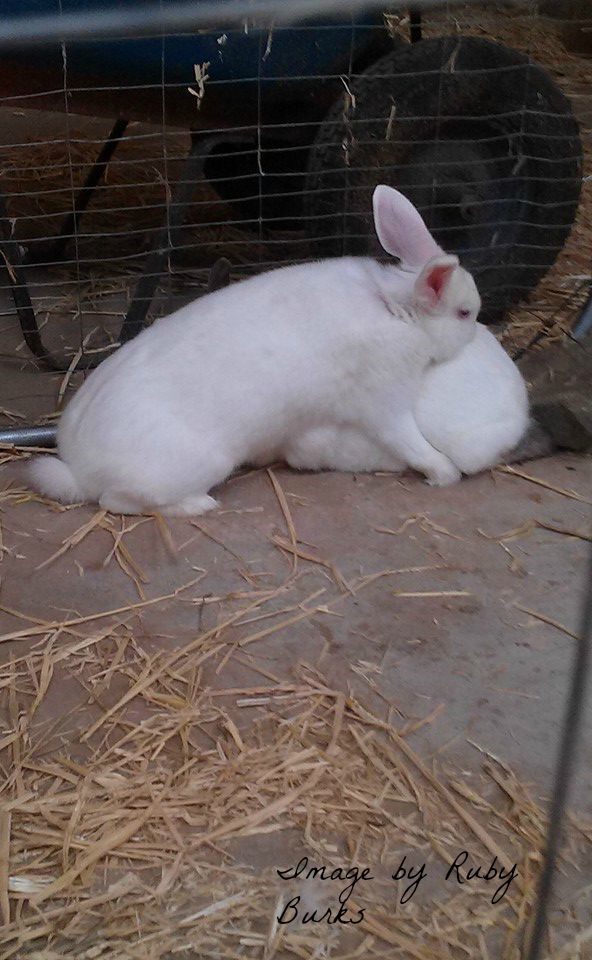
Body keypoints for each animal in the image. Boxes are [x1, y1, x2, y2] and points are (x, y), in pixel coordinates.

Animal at [29, 185, 481, 515]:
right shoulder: (385, 404)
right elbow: (411, 442)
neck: (397, 310)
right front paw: (444, 473)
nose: (476, 335)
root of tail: (79, 470)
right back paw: (201, 504)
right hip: (192, 465)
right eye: (464, 313)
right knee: (118, 500)